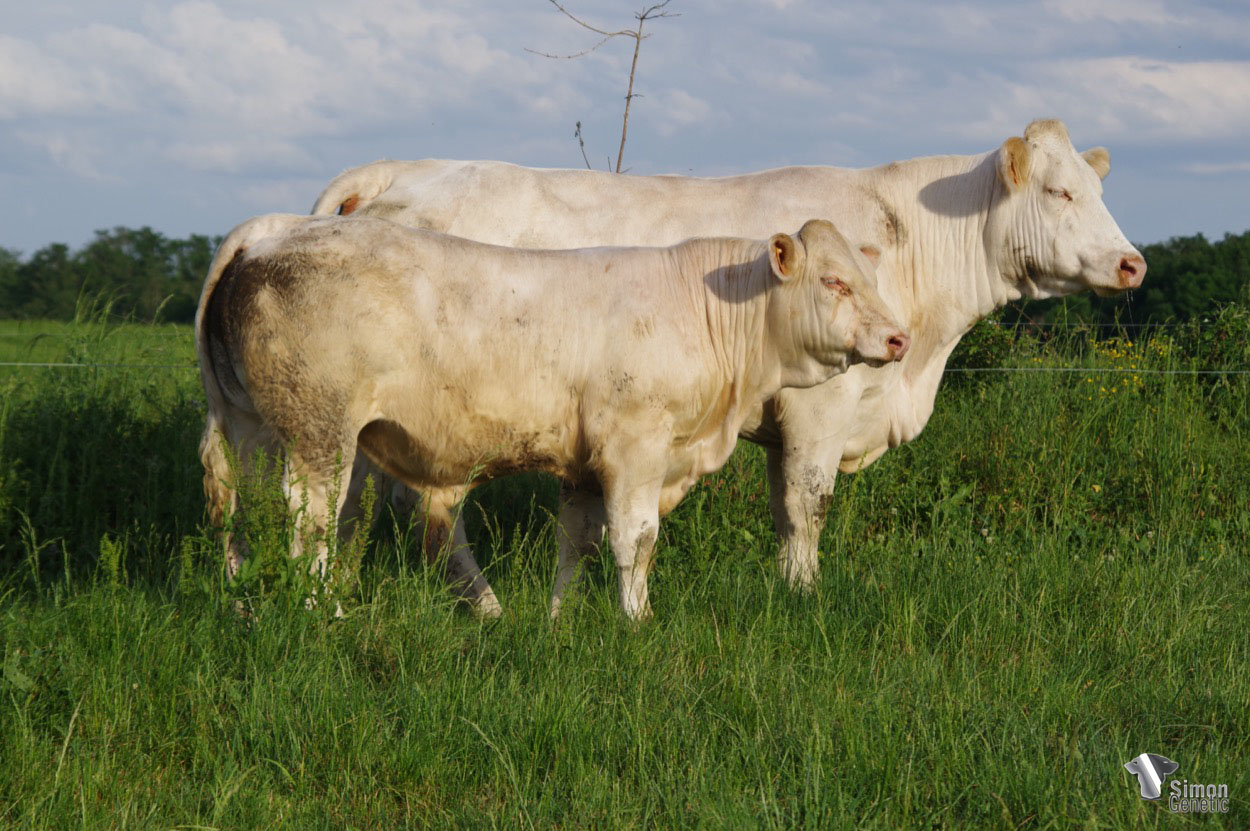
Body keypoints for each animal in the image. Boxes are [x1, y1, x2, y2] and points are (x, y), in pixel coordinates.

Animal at [196, 214, 909, 619]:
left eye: (870, 279)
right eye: (835, 282)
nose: (899, 338)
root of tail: (269, 232)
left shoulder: (584, 464)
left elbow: (579, 541)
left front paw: (558, 619)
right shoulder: (635, 445)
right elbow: (635, 540)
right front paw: (637, 623)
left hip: (252, 425)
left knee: (249, 515)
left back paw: (246, 606)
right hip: (320, 432)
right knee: (310, 522)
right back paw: (322, 614)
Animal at [311, 118, 1145, 616]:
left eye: (1099, 188)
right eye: (1061, 191)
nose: (1133, 263)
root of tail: (400, 168)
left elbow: (781, 505)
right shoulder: (819, 406)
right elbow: (806, 505)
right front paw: (804, 596)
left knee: (354, 497)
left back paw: (347, 587)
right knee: (423, 505)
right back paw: (484, 605)